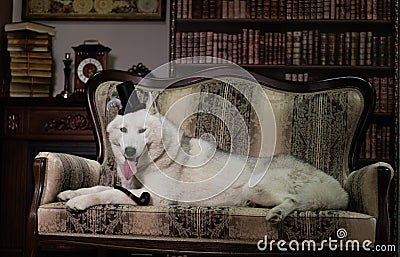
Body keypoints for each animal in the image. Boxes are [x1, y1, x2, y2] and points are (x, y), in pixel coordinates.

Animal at [57, 88, 348, 222]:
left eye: (142, 130)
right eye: (123, 130)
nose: (129, 151)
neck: (155, 161)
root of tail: (337, 187)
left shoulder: (152, 199)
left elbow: (106, 193)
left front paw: (80, 202)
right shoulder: (131, 187)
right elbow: (99, 186)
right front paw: (71, 193)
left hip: (257, 187)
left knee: (295, 201)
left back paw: (277, 213)